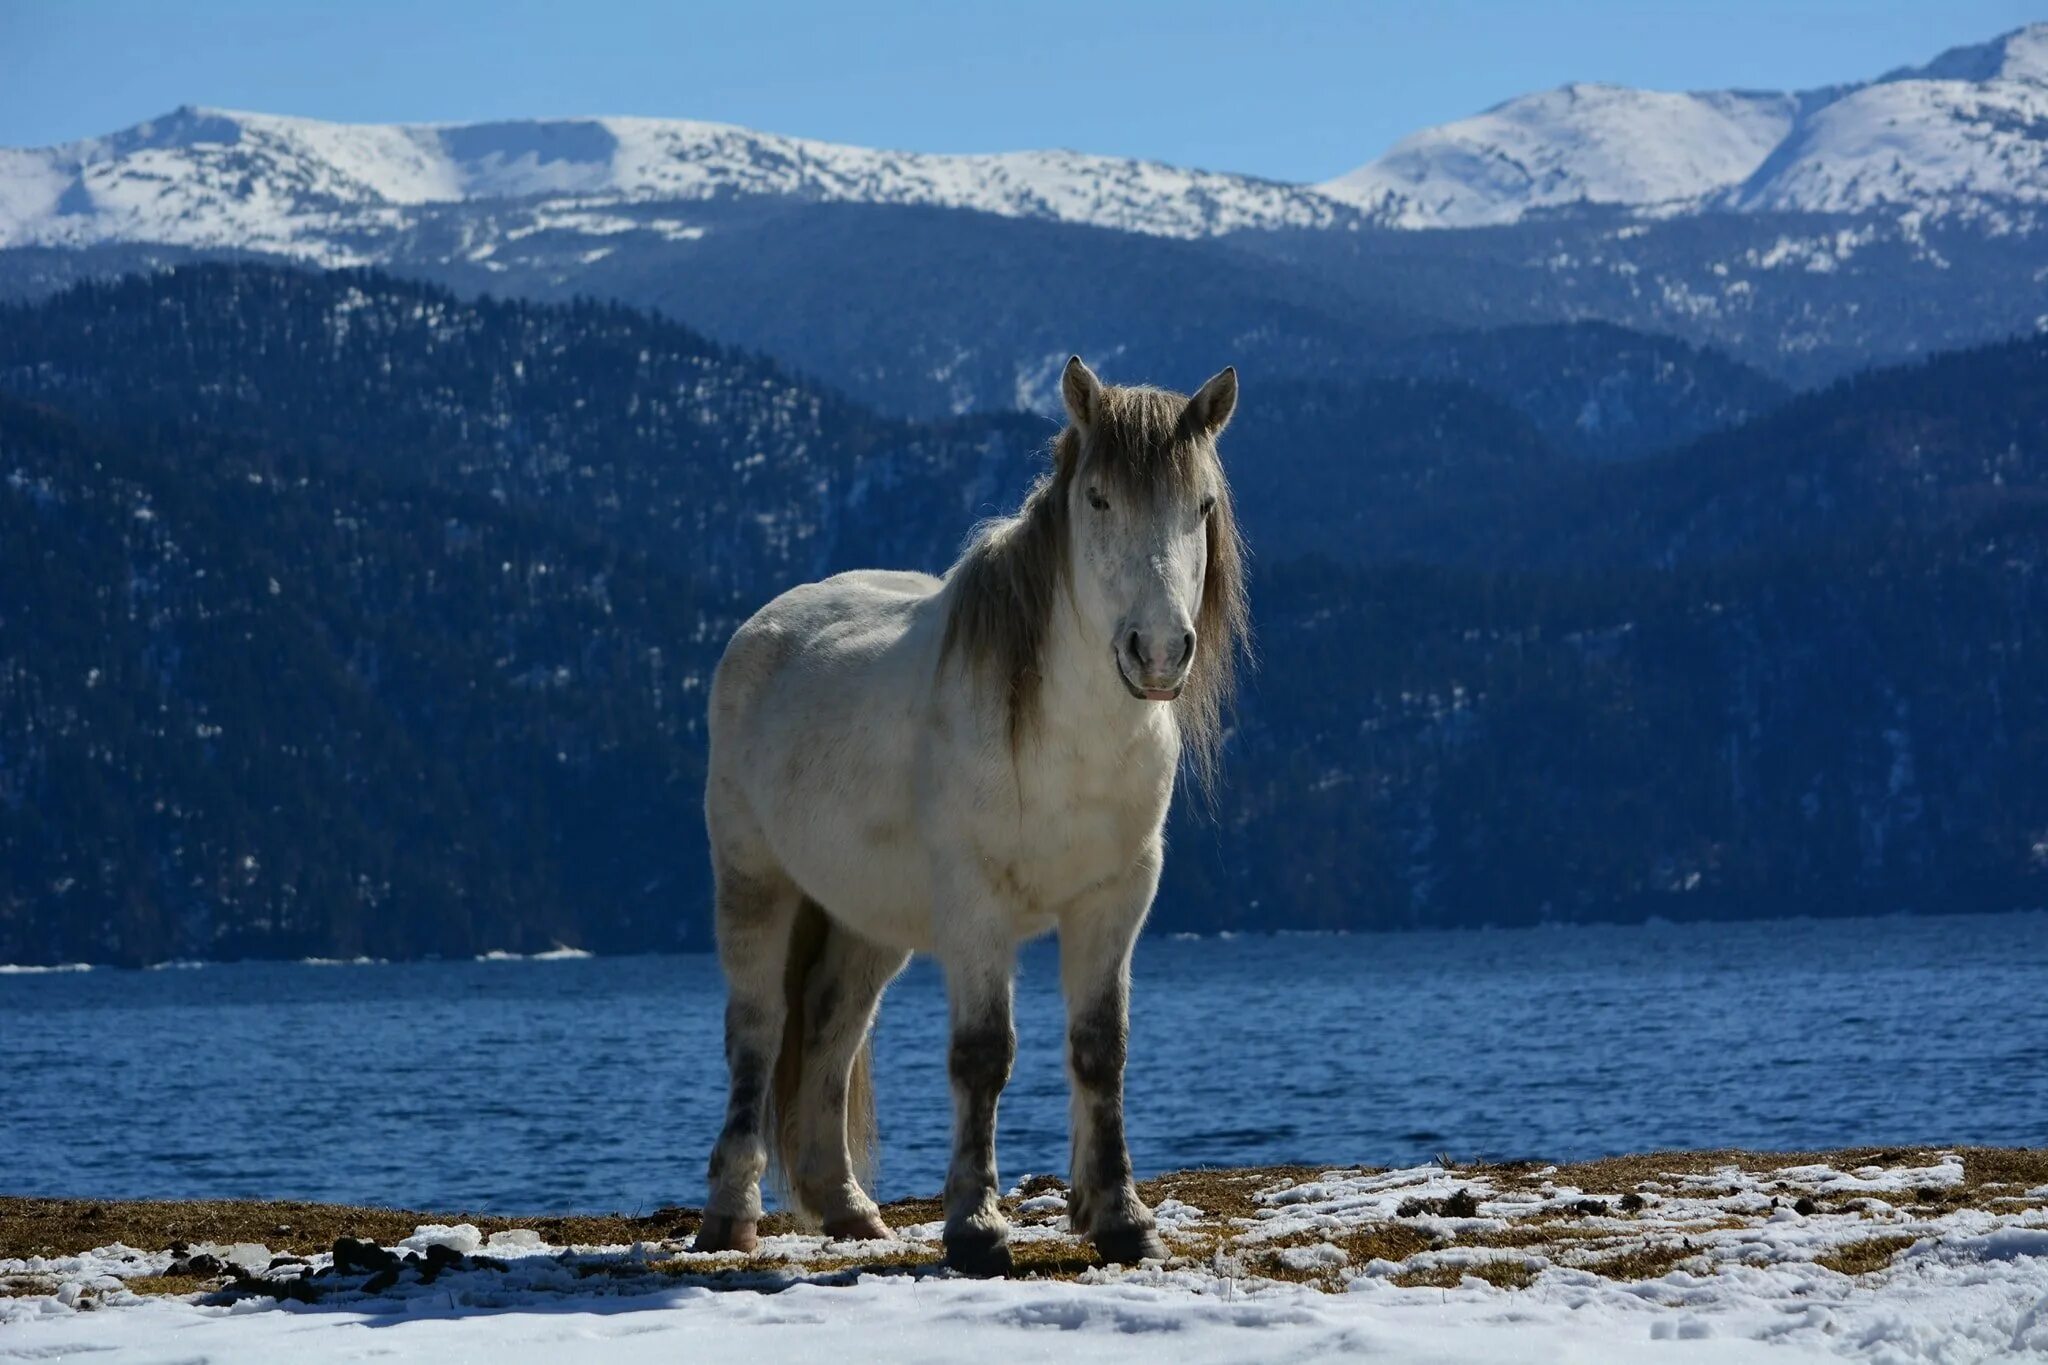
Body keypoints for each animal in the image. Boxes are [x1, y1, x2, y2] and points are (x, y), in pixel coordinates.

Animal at [692, 358, 1245, 1277]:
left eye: (1201, 504)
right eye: (1098, 498)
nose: (1160, 651)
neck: (1064, 736)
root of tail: (762, 629)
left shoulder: (1116, 898)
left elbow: (1101, 1049)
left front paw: (1119, 1217)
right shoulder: (977, 906)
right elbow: (984, 1056)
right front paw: (977, 1228)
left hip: (868, 916)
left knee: (833, 1027)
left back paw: (848, 1209)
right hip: (755, 884)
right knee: (759, 1034)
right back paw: (729, 1216)